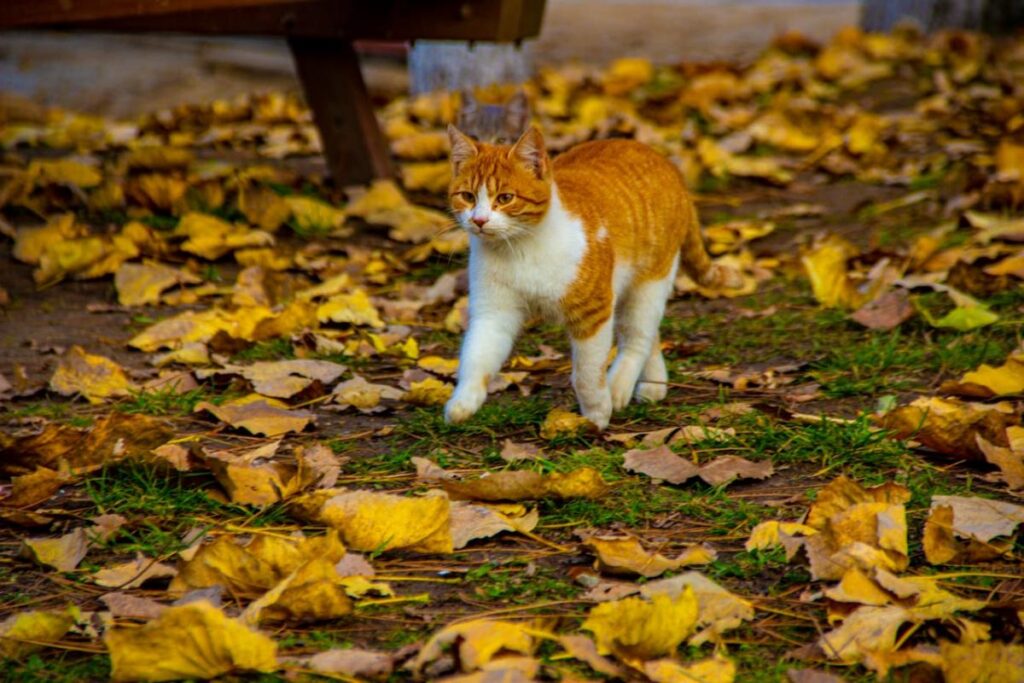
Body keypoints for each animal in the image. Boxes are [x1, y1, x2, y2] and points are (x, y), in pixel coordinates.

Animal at [444, 125, 741, 430]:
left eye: (505, 198)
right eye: (467, 196)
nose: (479, 221)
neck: (519, 250)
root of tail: (663, 160)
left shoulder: (593, 312)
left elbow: (586, 373)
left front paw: (597, 413)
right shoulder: (493, 313)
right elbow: (477, 357)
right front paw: (463, 402)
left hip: (650, 283)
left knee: (637, 338)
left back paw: (619, 385)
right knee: (649, 334)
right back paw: (652, 385)